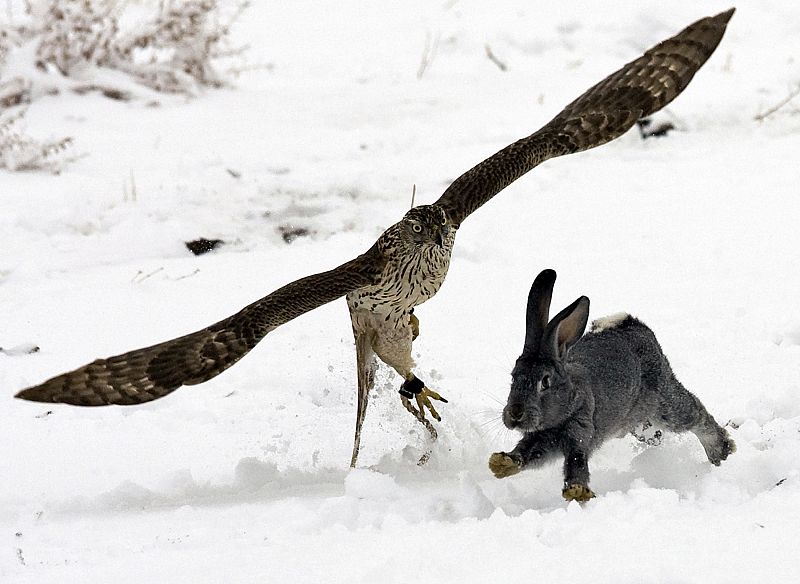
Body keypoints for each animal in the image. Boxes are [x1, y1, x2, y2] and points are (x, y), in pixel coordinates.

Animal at [484, 270, 736, 502]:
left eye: (545, 381)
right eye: (513, 377)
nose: (515, 414)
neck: (569, 400)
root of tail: (631, 324)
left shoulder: (581, 431)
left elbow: (576, 461)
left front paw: (578, 491)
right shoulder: (540, 439)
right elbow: (527, 453)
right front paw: (501, 463)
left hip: (665, 403)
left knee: (696, 414)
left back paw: (721, 451)